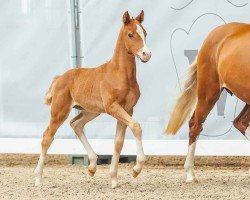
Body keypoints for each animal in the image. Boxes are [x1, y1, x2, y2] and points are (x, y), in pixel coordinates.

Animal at [34, 10, 151, 189]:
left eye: (144, 33)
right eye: (130, 34)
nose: (146, 54)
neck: (120, 74)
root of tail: (59, 77)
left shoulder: (128, 109)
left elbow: (118, 142)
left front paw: (114, 179)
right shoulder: (113, 107)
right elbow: (136, 127)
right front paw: (136, 169)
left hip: (91, 111)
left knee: (76, 125)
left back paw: (92, 166)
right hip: (59, 111)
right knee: (47, 136)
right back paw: (38, 178)